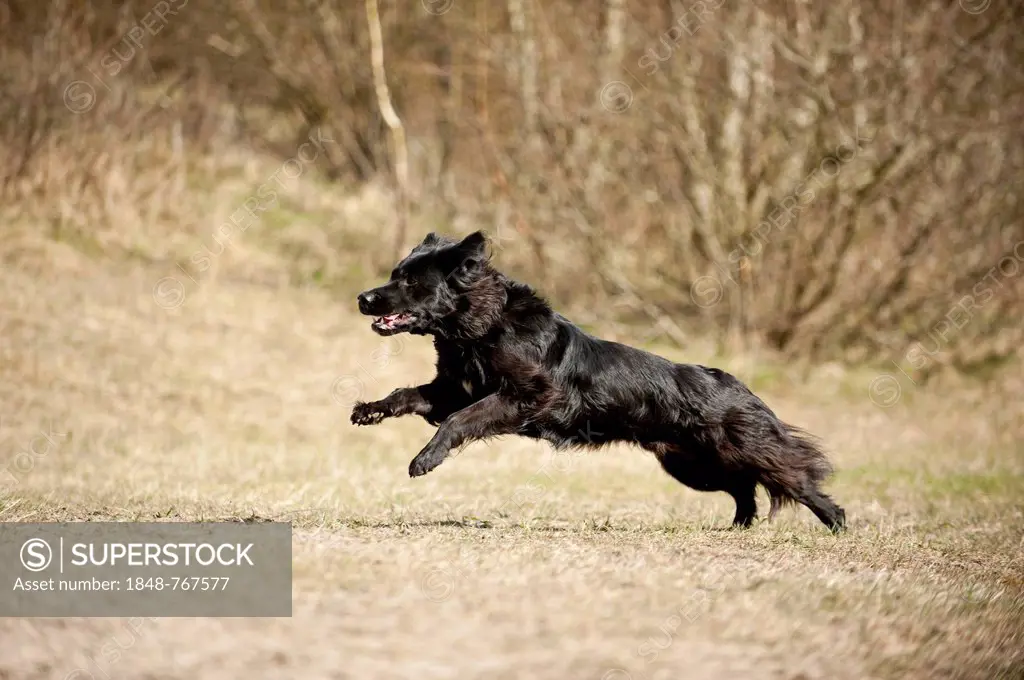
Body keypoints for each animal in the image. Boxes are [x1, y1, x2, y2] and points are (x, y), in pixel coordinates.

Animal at [352, 231, 847, 532]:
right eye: (395, 275)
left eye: (410, 282)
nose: (363, 297)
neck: (481, 328)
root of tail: (735, 385)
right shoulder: (452, 389)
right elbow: (408, 395)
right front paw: (370, 410)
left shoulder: (524, 396)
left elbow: (459, 421)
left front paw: (425, 459)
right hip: (692, 465)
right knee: (745, 488)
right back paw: (738, 528)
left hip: (735, 452)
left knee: (793, 476)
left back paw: (836, 520)